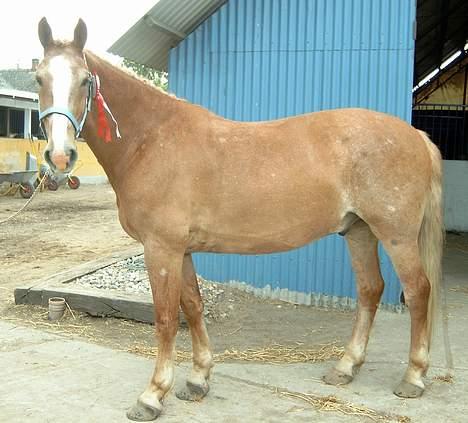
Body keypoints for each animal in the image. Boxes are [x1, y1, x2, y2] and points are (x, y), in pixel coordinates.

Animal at [35, 18, 442, 422]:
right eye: (39, 78)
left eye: (85, 81)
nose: (61, 156)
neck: (151, 140)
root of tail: (416, 136)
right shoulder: (181, 251)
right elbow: (193, 307)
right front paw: (198, 379)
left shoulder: (161, 249)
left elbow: (166, 318)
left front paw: (152, 395)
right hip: (359, 231)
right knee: (370, 290)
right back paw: (345, 367)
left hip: (396, 235)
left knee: (418, 291)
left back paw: (413, 377)